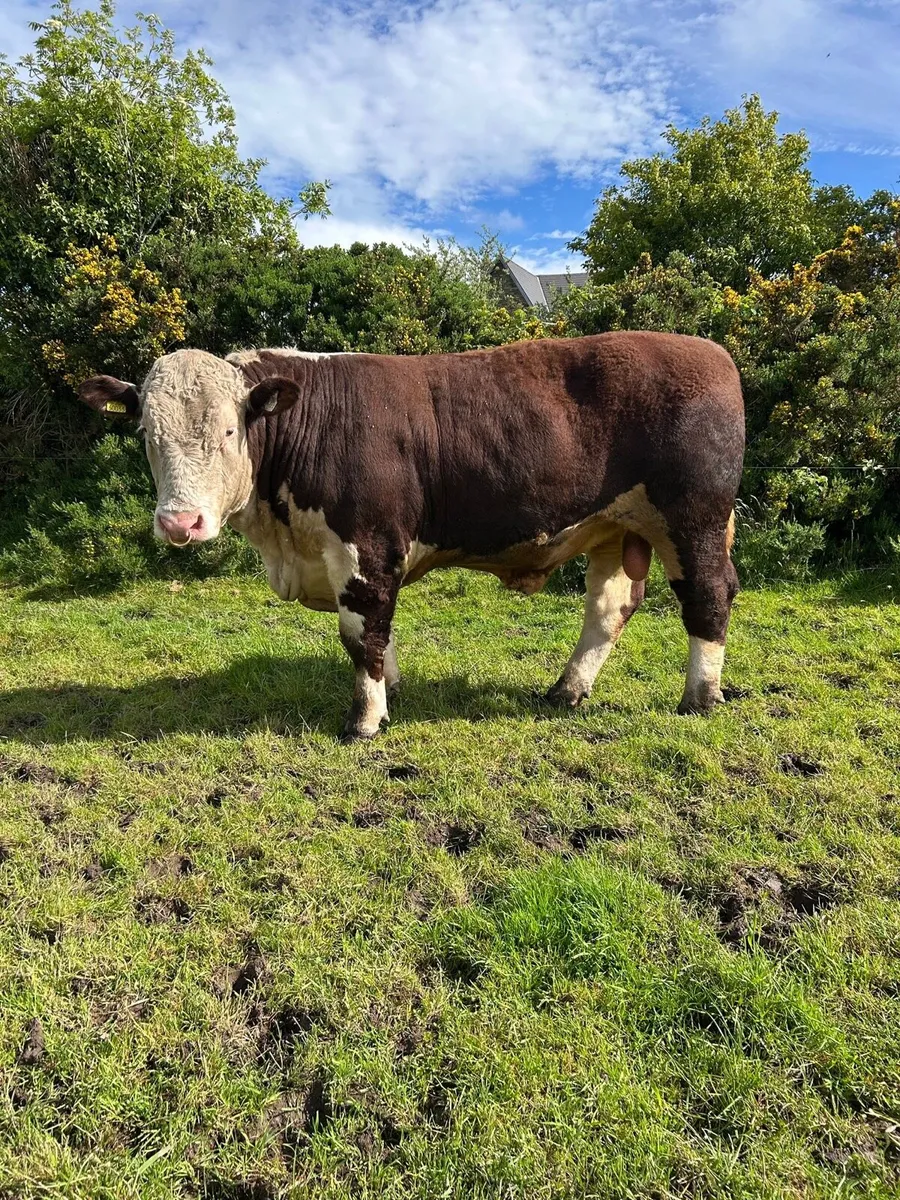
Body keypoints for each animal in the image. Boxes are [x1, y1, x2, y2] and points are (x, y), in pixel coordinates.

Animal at [79, 333, 744, 741]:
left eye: (226, 431)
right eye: (146, 433)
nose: (180, 523)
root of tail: (709, 353)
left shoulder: (366, 545)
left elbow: (362, 631)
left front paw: (365, 719)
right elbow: (377, 630)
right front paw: (391, 688)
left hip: (695, 519)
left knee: (708, 597)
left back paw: (700, 695)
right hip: (615, 526)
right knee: (609, 608)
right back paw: (566, 691)